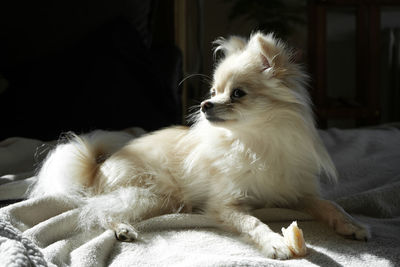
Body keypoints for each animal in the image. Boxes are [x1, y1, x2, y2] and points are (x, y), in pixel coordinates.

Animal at [29, 31, 370, 260]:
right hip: (150, 193)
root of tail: (97, 166)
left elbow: (330, 205)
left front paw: (351, 225)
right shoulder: (226, 205)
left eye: (237, 94)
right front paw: (274, 242)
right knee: (97, 210)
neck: (253, 141)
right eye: (213, 91)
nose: (205, 104)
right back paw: (121, 228)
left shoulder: (298, 193)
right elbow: (253, 221)